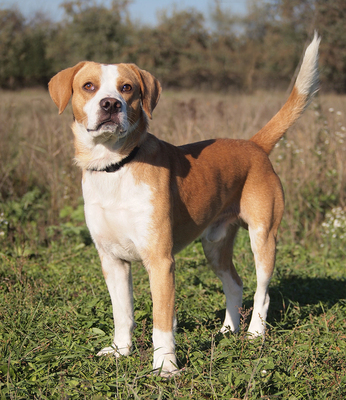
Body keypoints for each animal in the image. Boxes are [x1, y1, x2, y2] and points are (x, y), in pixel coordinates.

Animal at [48, 33, 318, 376]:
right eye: (89, 86)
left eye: (127, 88)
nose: (110, 104)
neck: (115, 166)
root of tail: (254, 145)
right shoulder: (112, 260)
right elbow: (122, 314)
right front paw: (120, 351)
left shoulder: (160, 261)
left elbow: (162, 321)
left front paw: (165, 366)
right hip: (214, 245)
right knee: (235, 285)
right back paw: (227, 331)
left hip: (263, 237)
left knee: (262, 293)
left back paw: (255, 333)